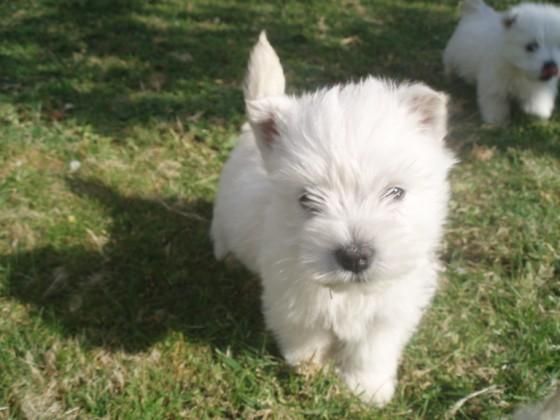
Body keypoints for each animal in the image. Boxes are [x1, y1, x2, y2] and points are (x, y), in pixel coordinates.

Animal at [210, 31, 456, 406]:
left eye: (396, 192)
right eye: (306, 199)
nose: (354, 256)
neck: (349, 293)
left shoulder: (389, 312)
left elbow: (372, 351)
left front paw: (368, 389)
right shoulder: (291, 301)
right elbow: (305, 339)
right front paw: (309, 370)